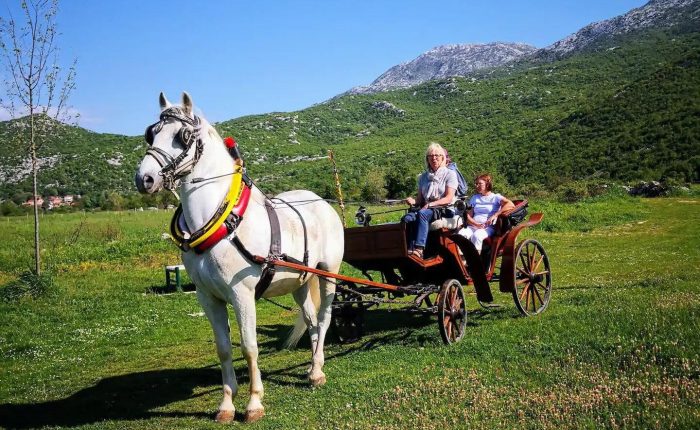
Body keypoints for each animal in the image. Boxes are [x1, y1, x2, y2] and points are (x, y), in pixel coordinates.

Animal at [134, 92, 344, 423]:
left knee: (323, 319)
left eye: (182, 136)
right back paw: (313, 368)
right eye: (151, 133)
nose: (145, 178)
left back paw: (318, 371)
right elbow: (223, 348)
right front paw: (226, 405)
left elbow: (249, 346)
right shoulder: (208, 297)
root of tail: (322, 201)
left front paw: (254, 402)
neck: (222, 222)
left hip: (329, 274)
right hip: (299, 282)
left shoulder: (241, 294)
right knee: (311, 322)